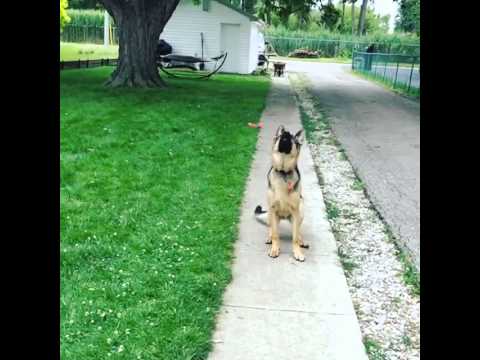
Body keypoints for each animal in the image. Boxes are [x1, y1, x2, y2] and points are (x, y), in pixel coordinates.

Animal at [253, 126, 310, 262]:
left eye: (292, 138)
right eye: (282, 135)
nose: (286, 134)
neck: (283, 172)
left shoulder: (295, 211)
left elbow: (295, 238)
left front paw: (297, 252)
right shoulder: (273, 209)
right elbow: (275, 235)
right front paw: (274, 249)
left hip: (301, 209)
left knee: (298, 231)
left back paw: (302, 240)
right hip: (270, 214)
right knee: (271, 229)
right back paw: (269, 238)